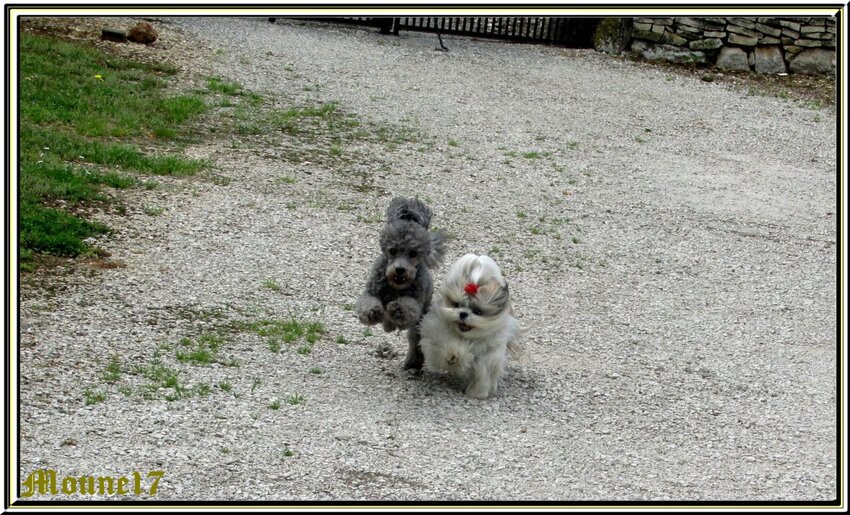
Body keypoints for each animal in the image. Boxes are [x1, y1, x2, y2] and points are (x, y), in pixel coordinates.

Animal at [420, 254, 520, 400]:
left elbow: (483, 372)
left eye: (477, 311)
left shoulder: (490, 354)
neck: (468, 338)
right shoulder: (435, 329)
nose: (463, 313)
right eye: (456, 304)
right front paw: (454, 354)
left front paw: (477, 392)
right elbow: (448, 344)